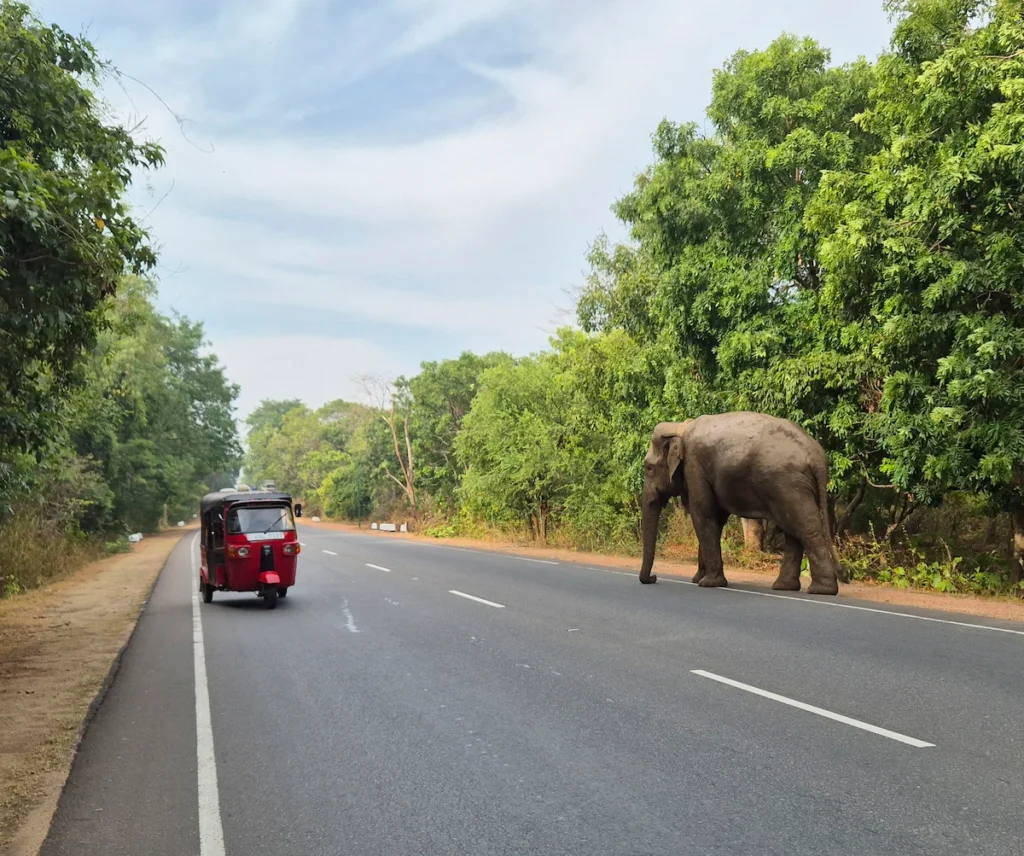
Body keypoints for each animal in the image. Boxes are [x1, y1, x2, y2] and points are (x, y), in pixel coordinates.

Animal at [638, 411, 848, 596]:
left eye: (649, 468)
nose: (653, 578)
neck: (680, 427)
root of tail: (818, 456)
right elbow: (715, 520)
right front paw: (698, 579)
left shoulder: (695, 466)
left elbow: (703, 515)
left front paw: (708, 583)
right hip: (793, 486)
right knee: (793, 531)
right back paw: (784, 587)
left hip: (789, 485)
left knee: (806, 529)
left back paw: (821, 590)